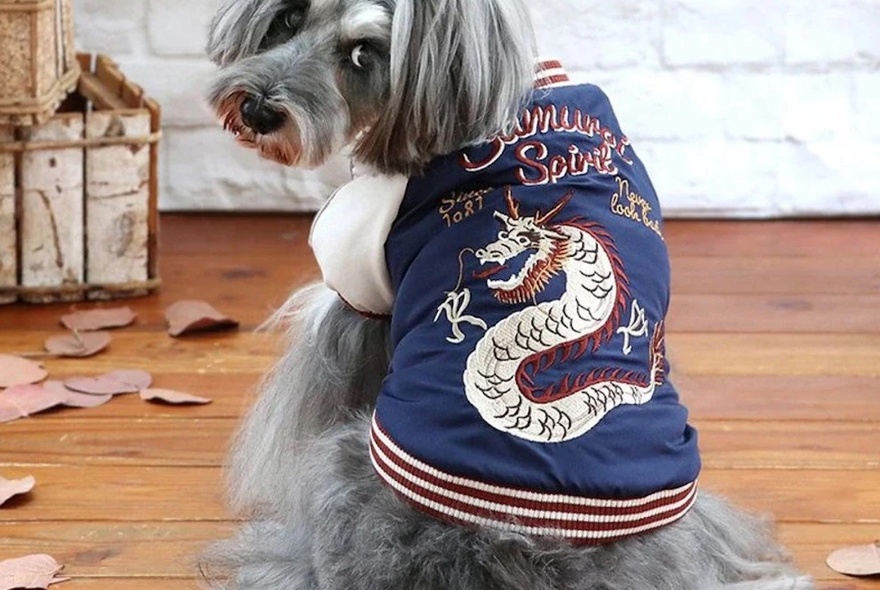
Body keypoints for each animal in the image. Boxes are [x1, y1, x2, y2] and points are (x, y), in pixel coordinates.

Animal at [199, 1, 812, 590]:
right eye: (289, 17)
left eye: (363, 54)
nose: (257, 111)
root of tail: (520, 550)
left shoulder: (358, 289)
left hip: (342, 464)